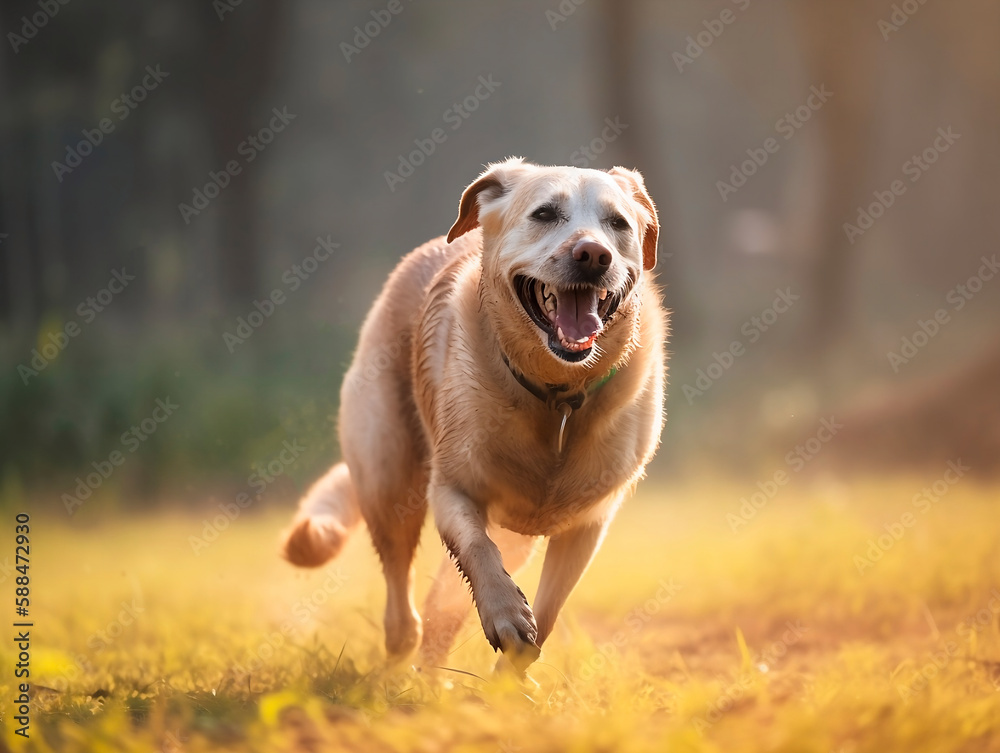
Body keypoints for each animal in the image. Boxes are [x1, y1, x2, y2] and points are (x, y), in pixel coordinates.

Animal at [280, 156, 664, 668]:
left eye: (618, 224)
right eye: (545, 213)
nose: (593, 255)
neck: (556, 397)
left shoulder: (587, 526)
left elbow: (549, 610)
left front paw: (515, 668)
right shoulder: (451, 489)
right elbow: (478, 548)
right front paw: (505, 615)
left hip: (516, 539)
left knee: (440, 605)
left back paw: (432, 675)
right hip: (388, 478)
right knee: (402, 592)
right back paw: (402, 650)